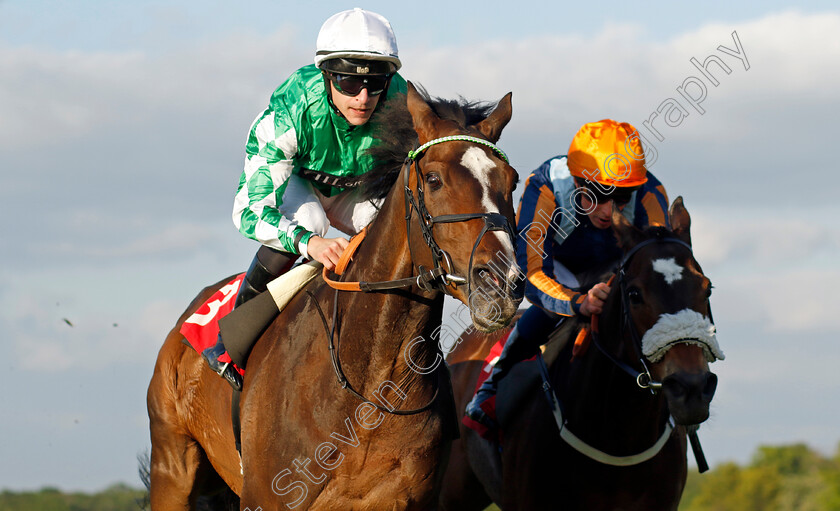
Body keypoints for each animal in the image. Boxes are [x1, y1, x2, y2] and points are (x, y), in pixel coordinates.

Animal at [148, 84, 520, 511]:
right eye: (433, 179)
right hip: (172, 469)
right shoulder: (268, 496)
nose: (502, 283)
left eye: (512, 181)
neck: (372, 388)